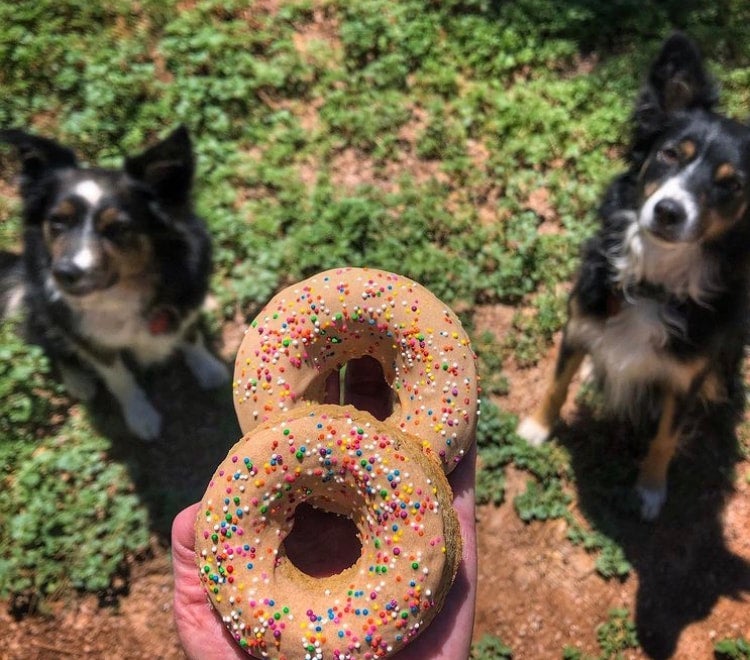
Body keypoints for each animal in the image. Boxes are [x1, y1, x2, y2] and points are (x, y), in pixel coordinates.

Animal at [0, 126, 229, 440]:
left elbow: (192, 336)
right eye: (57, 221)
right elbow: (119, 378)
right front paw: (141, 416)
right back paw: (78, 380)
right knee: (50, 343)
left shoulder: (184, 300)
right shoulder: (89, 337)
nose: (64, 273)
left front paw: (209, 369)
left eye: (118, 228)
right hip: (43, 310)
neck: (121, 292)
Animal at [520, 34, 750, 520]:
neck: (655, 284)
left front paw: (650, 488)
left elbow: (666, 435)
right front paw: (536, 427)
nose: (668, 211)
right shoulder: (580, 318)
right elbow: (557, 383)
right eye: (669, 154)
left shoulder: (686, 376)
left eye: (731, 184)